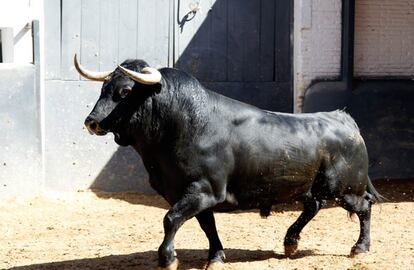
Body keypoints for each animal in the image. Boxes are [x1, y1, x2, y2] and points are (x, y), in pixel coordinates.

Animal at [75, 57, 382, 270]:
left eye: (125, 91)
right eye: (104, 87)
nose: (91, 122)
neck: (181, 123)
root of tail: (344, 119)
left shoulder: (203, 189)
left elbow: (171, 219)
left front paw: (168, 259)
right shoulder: (191, 194)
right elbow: (206, 225)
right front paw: (216, 257)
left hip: (345, 189)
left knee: (364, 207)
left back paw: (359, 248)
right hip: (314, 188)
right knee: (313, 206)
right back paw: (290, 243)